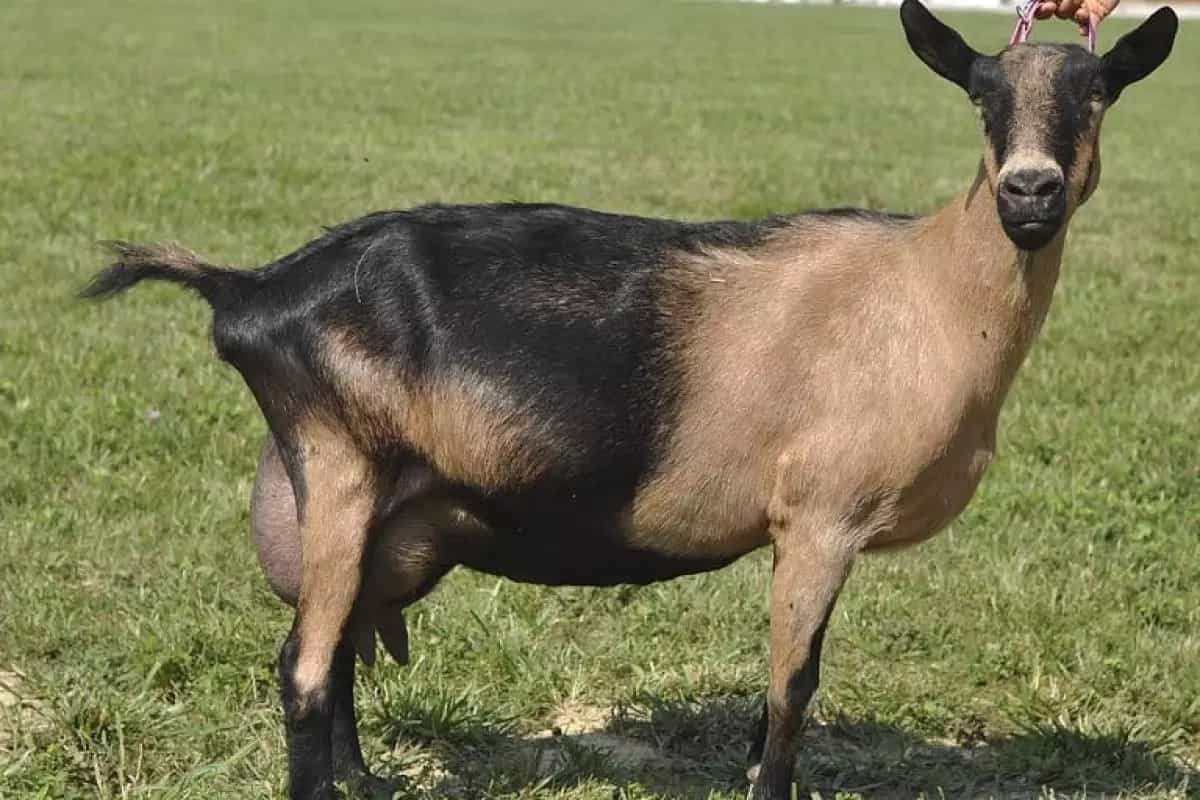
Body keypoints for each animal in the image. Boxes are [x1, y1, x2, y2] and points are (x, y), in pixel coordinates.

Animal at [80, 3, 1177, 797]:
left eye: (1099, 91)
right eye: (982, 95)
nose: (1029, 193)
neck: (927, 291)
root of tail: (253, 291)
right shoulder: (821, 515)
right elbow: (792, 688)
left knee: (338, 640)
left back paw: (365, 782)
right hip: (339, 460)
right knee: (304, 669)